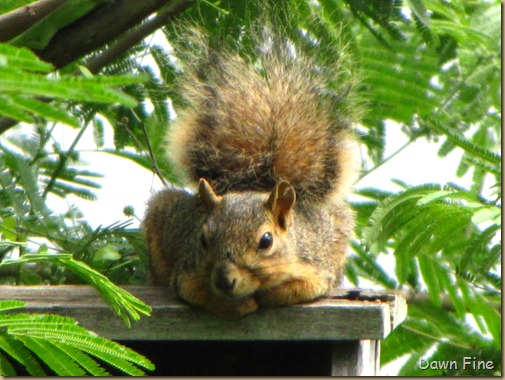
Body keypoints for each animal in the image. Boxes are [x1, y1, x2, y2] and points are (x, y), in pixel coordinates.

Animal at [144, 31, 360, 318]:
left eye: (266, 241)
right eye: (203, 239)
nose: (224, 280)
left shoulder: (314, 266)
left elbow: (301, 288)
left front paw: (268, 294)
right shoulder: (188, 272)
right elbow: (198, 293)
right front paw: (237, 303)